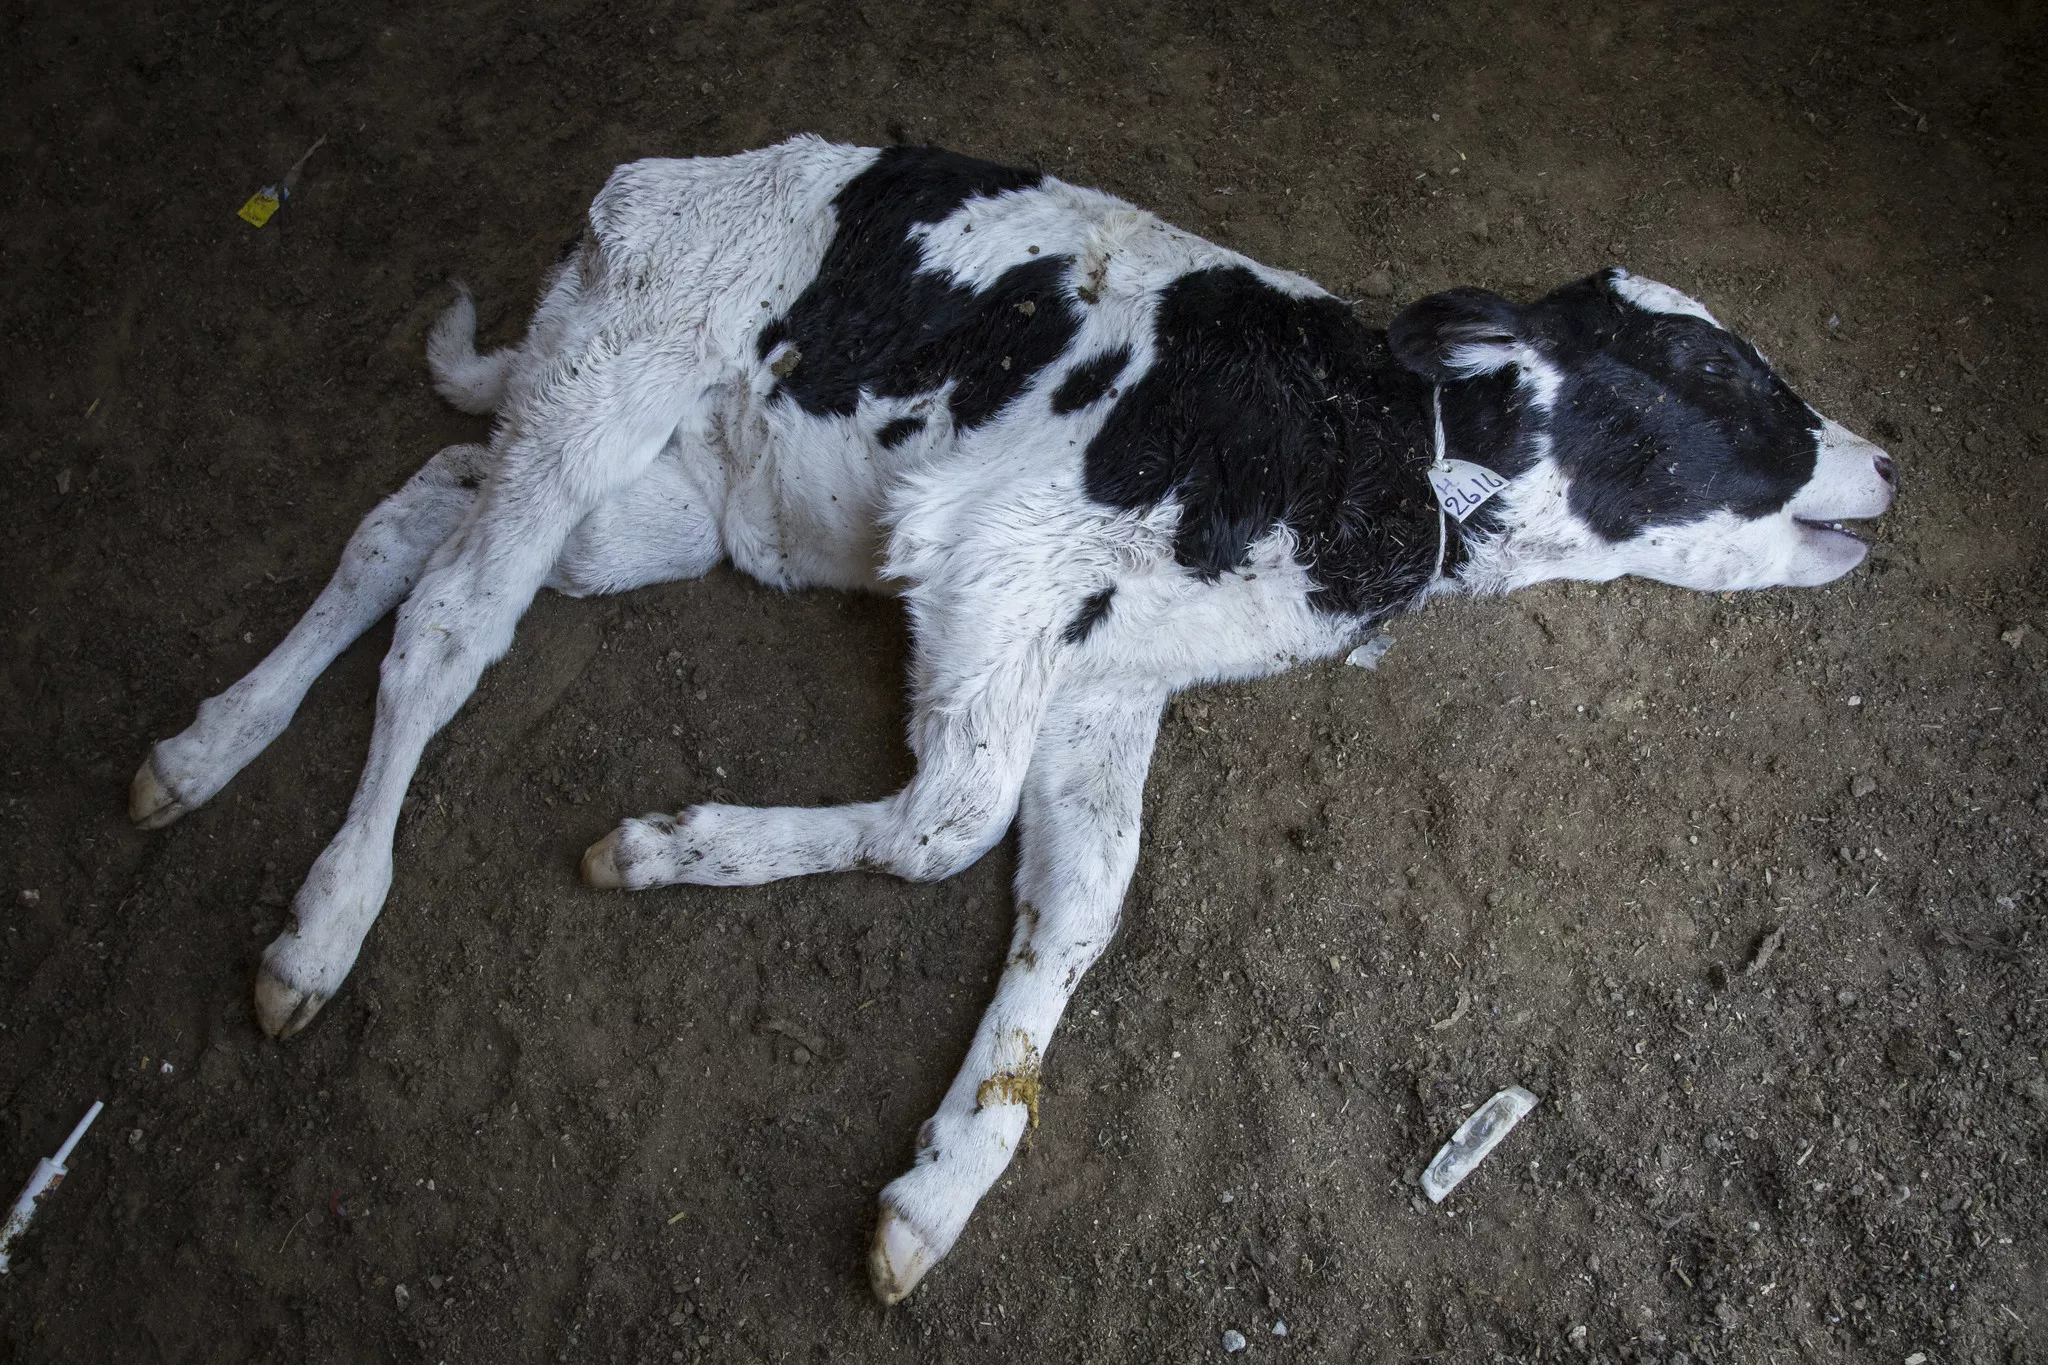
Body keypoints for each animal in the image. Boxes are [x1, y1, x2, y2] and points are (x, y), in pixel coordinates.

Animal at [128, 136, 1892, 1301]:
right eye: (1715, 375)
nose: (1886, 462)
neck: (1371, 464)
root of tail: (661, 179)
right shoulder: (996, 559)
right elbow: (946, 820)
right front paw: (666, 847)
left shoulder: (1113, 676)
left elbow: (1080, 902)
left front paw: (941, 1187)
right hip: (600, 391)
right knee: (446, 628)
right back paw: (320, 922)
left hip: (653, 507)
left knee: (415, 509)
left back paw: (204, 747)